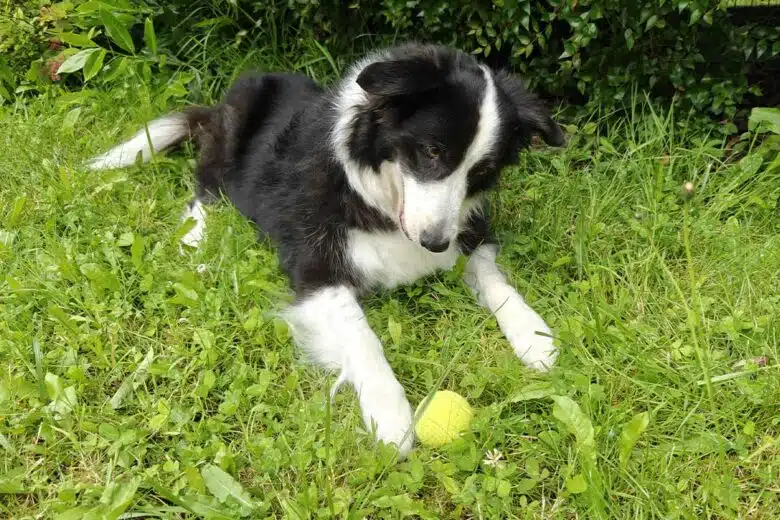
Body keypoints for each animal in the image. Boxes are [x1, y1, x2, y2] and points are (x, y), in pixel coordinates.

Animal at [88, 43, 568, 456]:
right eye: (432, 150)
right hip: (232, 128)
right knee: (206, 189)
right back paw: (194, 242)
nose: (434, 243)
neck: (377, 196)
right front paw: (391, 416)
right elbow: (363, 337)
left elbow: (494, 278)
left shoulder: (470, 234)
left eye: (481, 171)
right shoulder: (316, 268)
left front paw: (533, 336)